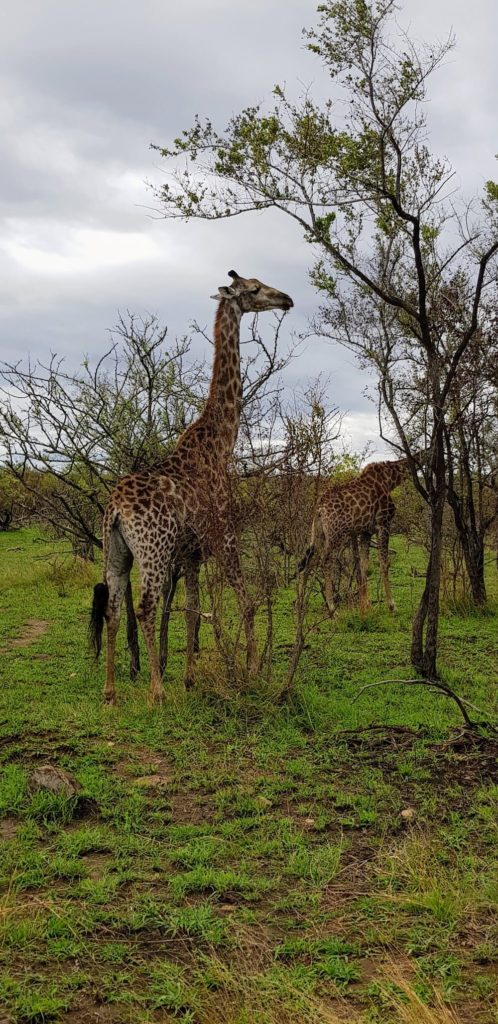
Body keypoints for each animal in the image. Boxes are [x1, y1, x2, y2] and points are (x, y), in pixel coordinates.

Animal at [89, 270, 291, 704]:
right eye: (254, 288)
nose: (286, 299)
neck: (219, 444)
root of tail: (115, 510)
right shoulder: (225, 536)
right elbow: (245, 602)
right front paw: (250, 670)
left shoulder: (191, 553)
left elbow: (195, 611)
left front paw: (190, 678)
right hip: (153, 549)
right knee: (145, 606)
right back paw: (156, 691)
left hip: (116, 552)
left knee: (113, 607)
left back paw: (111, 692)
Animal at [299, 458, 411, 614]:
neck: (390, 479)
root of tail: (320, 509)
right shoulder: (384, 524)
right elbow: (384, 564)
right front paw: (392, 605)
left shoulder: (366, 531)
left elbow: (364, 567)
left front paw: (365, 606)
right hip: (336, 534)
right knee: (326, 561)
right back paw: (332, 608)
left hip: (318, 534)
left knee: (310, 562)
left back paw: (300, 605)